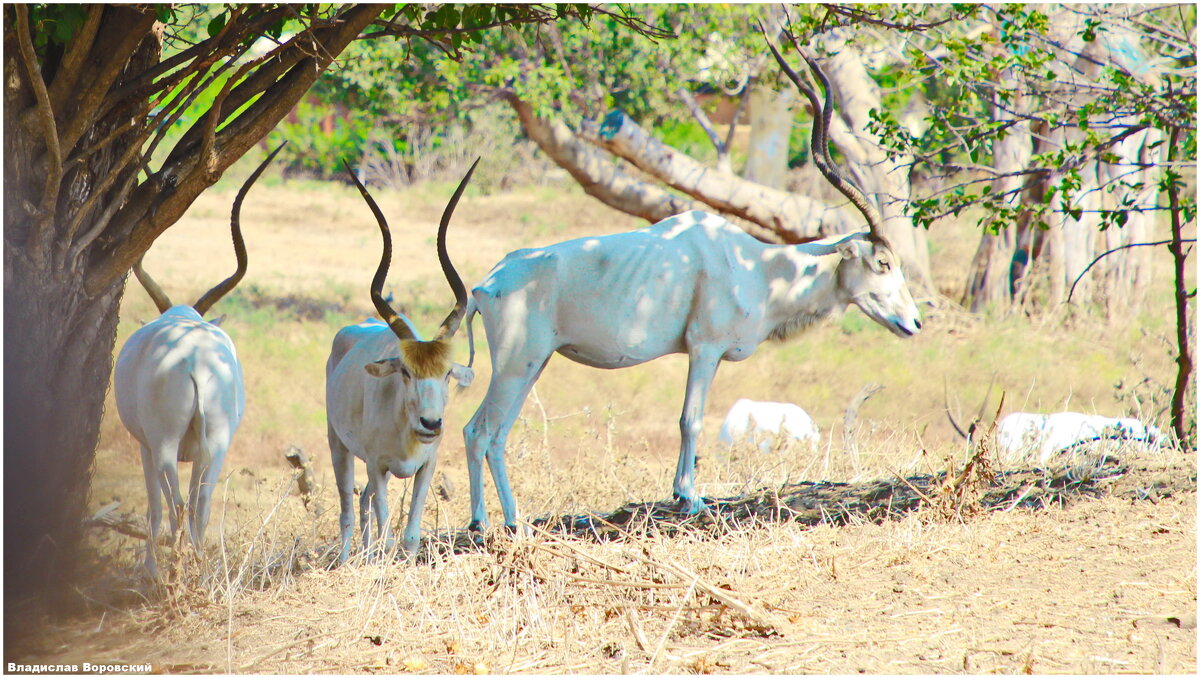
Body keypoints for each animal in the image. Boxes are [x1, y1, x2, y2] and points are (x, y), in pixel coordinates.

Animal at [117, 144, 285, 576]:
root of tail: (194, 361)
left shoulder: (145, 447)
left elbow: (154, 508)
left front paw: (149, 568)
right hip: (218, 443)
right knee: (201, 505)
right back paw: (201, 569)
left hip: (163, 445)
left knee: (175, 505)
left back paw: (170, 573)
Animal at [328, 157, 482, 561]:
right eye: (407, 373)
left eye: (447, 374)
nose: (431, 423)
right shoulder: (378, 465)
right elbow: (386, 531)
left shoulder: (426, 466)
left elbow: (409, 534)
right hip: (339, 447)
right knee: (347, 508)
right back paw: (347, 560)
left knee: (363, 502)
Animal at [458, 48, 916, 535]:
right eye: (883, 263)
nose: (914, 322)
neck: (755, 267)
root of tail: (486, 284)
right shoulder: (704, 348)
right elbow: (690, 420)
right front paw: (689, 497)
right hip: (515, 365)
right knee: (483, 431)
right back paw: (499, 523)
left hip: (533, 364)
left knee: (488, 432)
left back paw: (493, 520)